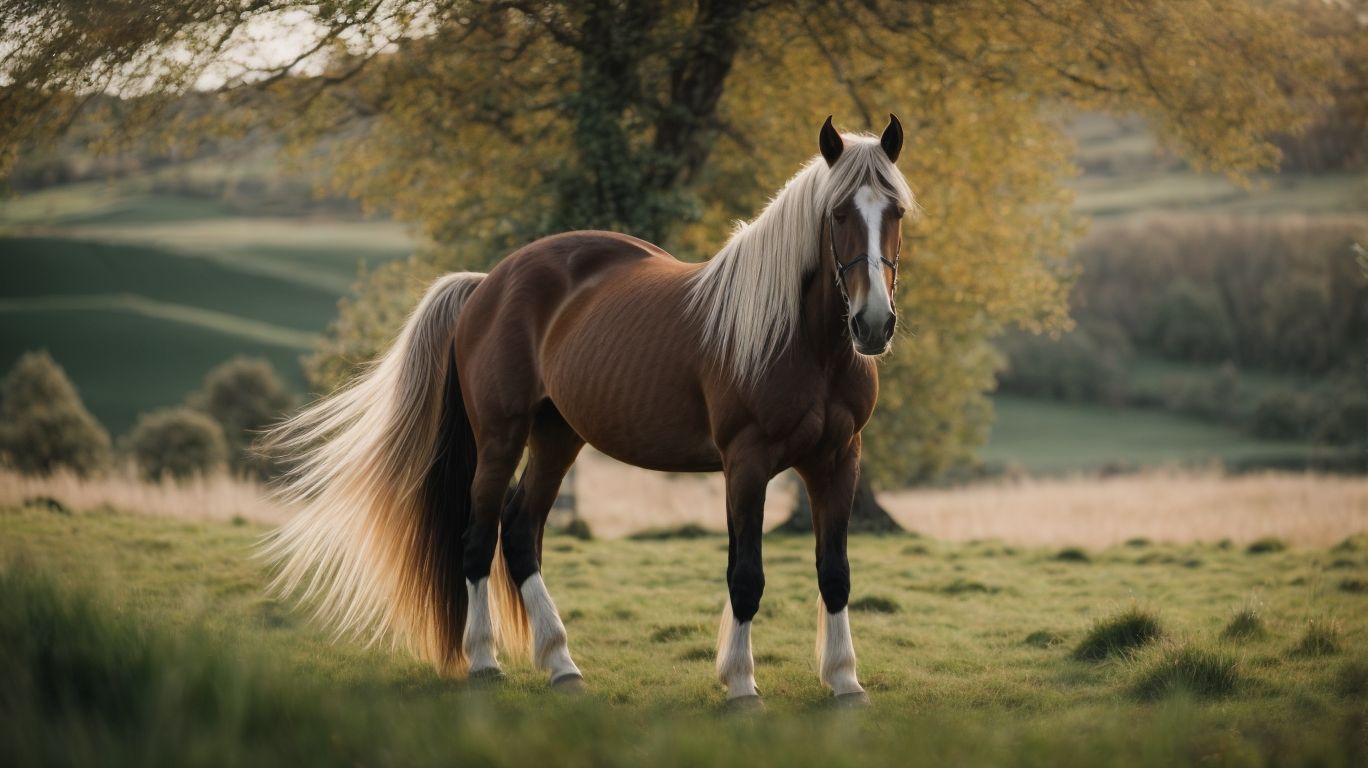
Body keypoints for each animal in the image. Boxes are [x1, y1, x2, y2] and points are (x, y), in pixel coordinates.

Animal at [265, 114, 914, 709]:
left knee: (520, 534)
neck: (800, 340)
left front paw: (845, 682)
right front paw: (740, 685)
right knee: (478, 538)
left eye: (897, 213)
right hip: (500, 438)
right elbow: (746, 577)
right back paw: (485, 662)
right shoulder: (746, 463)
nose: (872, 323)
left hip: (557, 438)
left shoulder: (838, 460)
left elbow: (835, 573)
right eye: (837, 214)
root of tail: (487, 283)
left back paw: (562, 666)